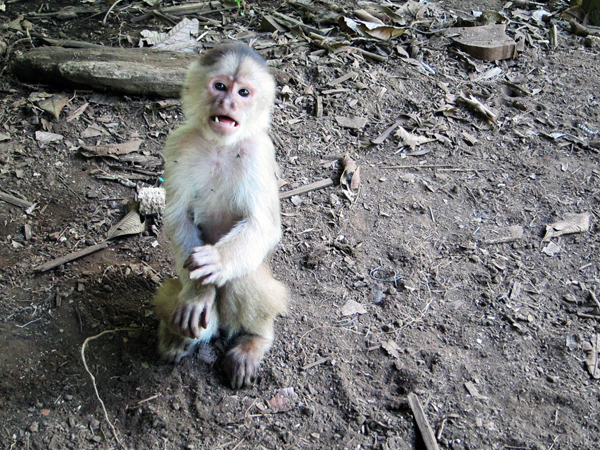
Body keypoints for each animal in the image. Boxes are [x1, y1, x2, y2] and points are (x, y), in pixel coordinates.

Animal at [154, 40, 288, 388]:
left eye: (243, 92)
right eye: (220, 86)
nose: (228, 102)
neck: (220, 146)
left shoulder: (260, 152)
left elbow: (263, 226)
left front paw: (216, 261)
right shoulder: (178, 144)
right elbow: (178, 216)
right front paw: (197, 294)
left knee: (246, 277)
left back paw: (254, 339)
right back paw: (177, 337)